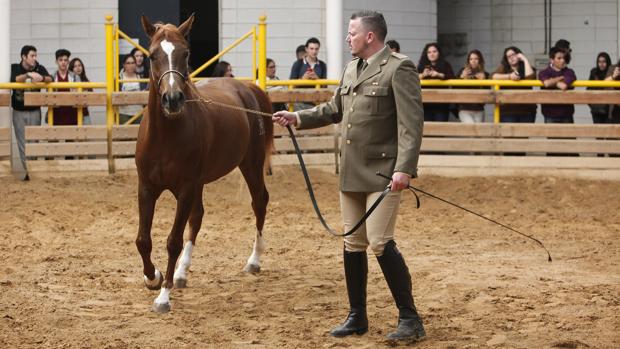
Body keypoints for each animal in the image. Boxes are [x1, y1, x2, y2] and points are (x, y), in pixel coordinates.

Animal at [136, 14, 274, 312]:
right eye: (152, 55)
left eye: (185, 54)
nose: (172, 99)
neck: (166, 135)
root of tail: (246, 87)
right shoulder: (147, 188)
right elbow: (143, 239)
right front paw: (153, 277)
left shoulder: (186, 188)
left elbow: (173, 241)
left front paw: (163, 296)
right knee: (197, 217)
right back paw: (181, 273)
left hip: (250, 164)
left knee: (259, 201)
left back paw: (254, 261)